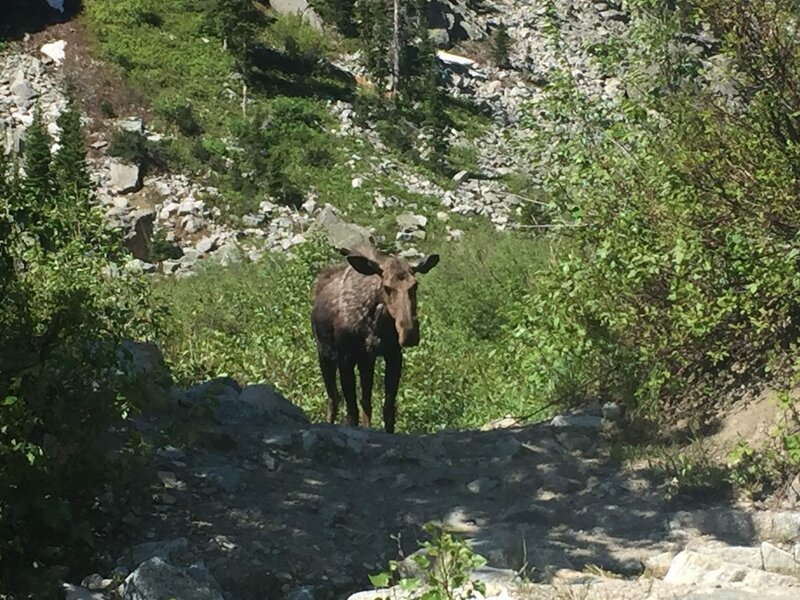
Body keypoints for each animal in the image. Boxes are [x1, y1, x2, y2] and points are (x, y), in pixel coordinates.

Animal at [310, 245, 440, 433]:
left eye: (415, 285)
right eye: (386, 287)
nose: (409, 333)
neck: (376, 323)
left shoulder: (392, 355)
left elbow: (387, 409)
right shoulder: (345, 359)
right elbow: (352, 412)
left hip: (365, 361)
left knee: (365, 401)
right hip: (325, 354)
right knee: (334, 398)